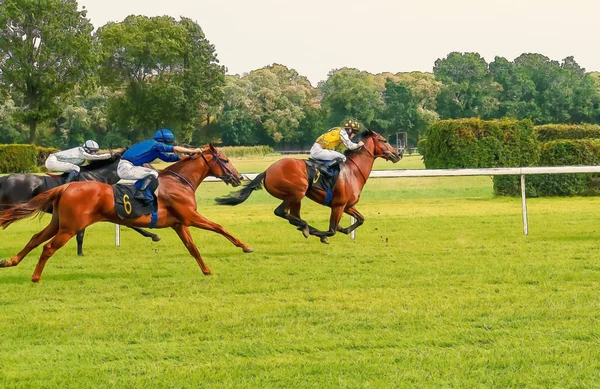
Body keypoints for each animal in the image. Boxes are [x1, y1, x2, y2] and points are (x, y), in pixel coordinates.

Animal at [217, 130, 404, 242]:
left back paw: (304, 226)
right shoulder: (338, 205)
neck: (352, 171)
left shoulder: (348, 205)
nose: (398, 154)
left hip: (296, 198)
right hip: (296, 192)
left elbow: (360, 219)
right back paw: (307, 227)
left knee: (291, 215)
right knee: (281, 211)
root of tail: (267, 171)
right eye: (384, 140)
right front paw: (322, 235)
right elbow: (331, 230)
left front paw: (343, 229)